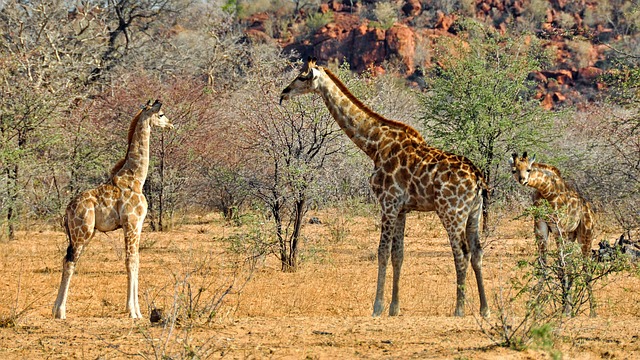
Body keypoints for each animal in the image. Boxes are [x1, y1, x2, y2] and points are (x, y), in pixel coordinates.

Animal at [53, 100, 172, 320]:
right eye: (161, 114)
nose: (171, 124)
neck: (136, 179)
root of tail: (67, 211)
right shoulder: (131, 223)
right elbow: (131, 261)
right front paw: (133, 311)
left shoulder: (138, 225)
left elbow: (136, 260)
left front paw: (135, 309)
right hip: (82, 232)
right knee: (71, 262)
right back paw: (61, 312)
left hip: (82, 234)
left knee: (66, 259)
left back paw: (55, 309)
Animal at [282, 57, 490, 316]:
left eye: (302, 77)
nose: (284, 93)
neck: (374, 144)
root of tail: (478, 178)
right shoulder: (401, 209)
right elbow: (397, 255)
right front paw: (394, 308)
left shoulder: (388, 203)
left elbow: (382, 252)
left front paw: (377, 306)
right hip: (474, 213)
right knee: (478, 251)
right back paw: (484, 309)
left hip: (451, 211)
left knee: (461, 252)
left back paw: (459, 309)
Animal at [508, 152, 596, 316]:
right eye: (514, 170)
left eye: (528, 169)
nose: (522, 180)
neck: (546, 191)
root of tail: (590, 209)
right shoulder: (540, 227)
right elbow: (543, 264)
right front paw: (535, 306)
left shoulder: (558, 228)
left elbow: (561, 266)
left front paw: (566, 309)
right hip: (571, 236)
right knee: (571, 265)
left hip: (586, 235)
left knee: (585, 268)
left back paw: (593, 311)